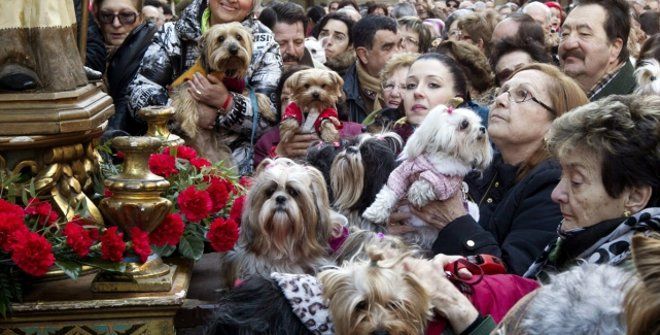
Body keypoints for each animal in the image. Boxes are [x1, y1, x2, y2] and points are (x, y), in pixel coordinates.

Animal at [360, 106, 490, 251]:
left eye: (479, 122)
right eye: (465, 124)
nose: (483, 128)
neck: (439, 156)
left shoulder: (449, 180)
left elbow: (430, 180)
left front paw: (417, 192)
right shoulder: (402, 172)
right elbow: (389, 191)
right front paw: (375, 212)